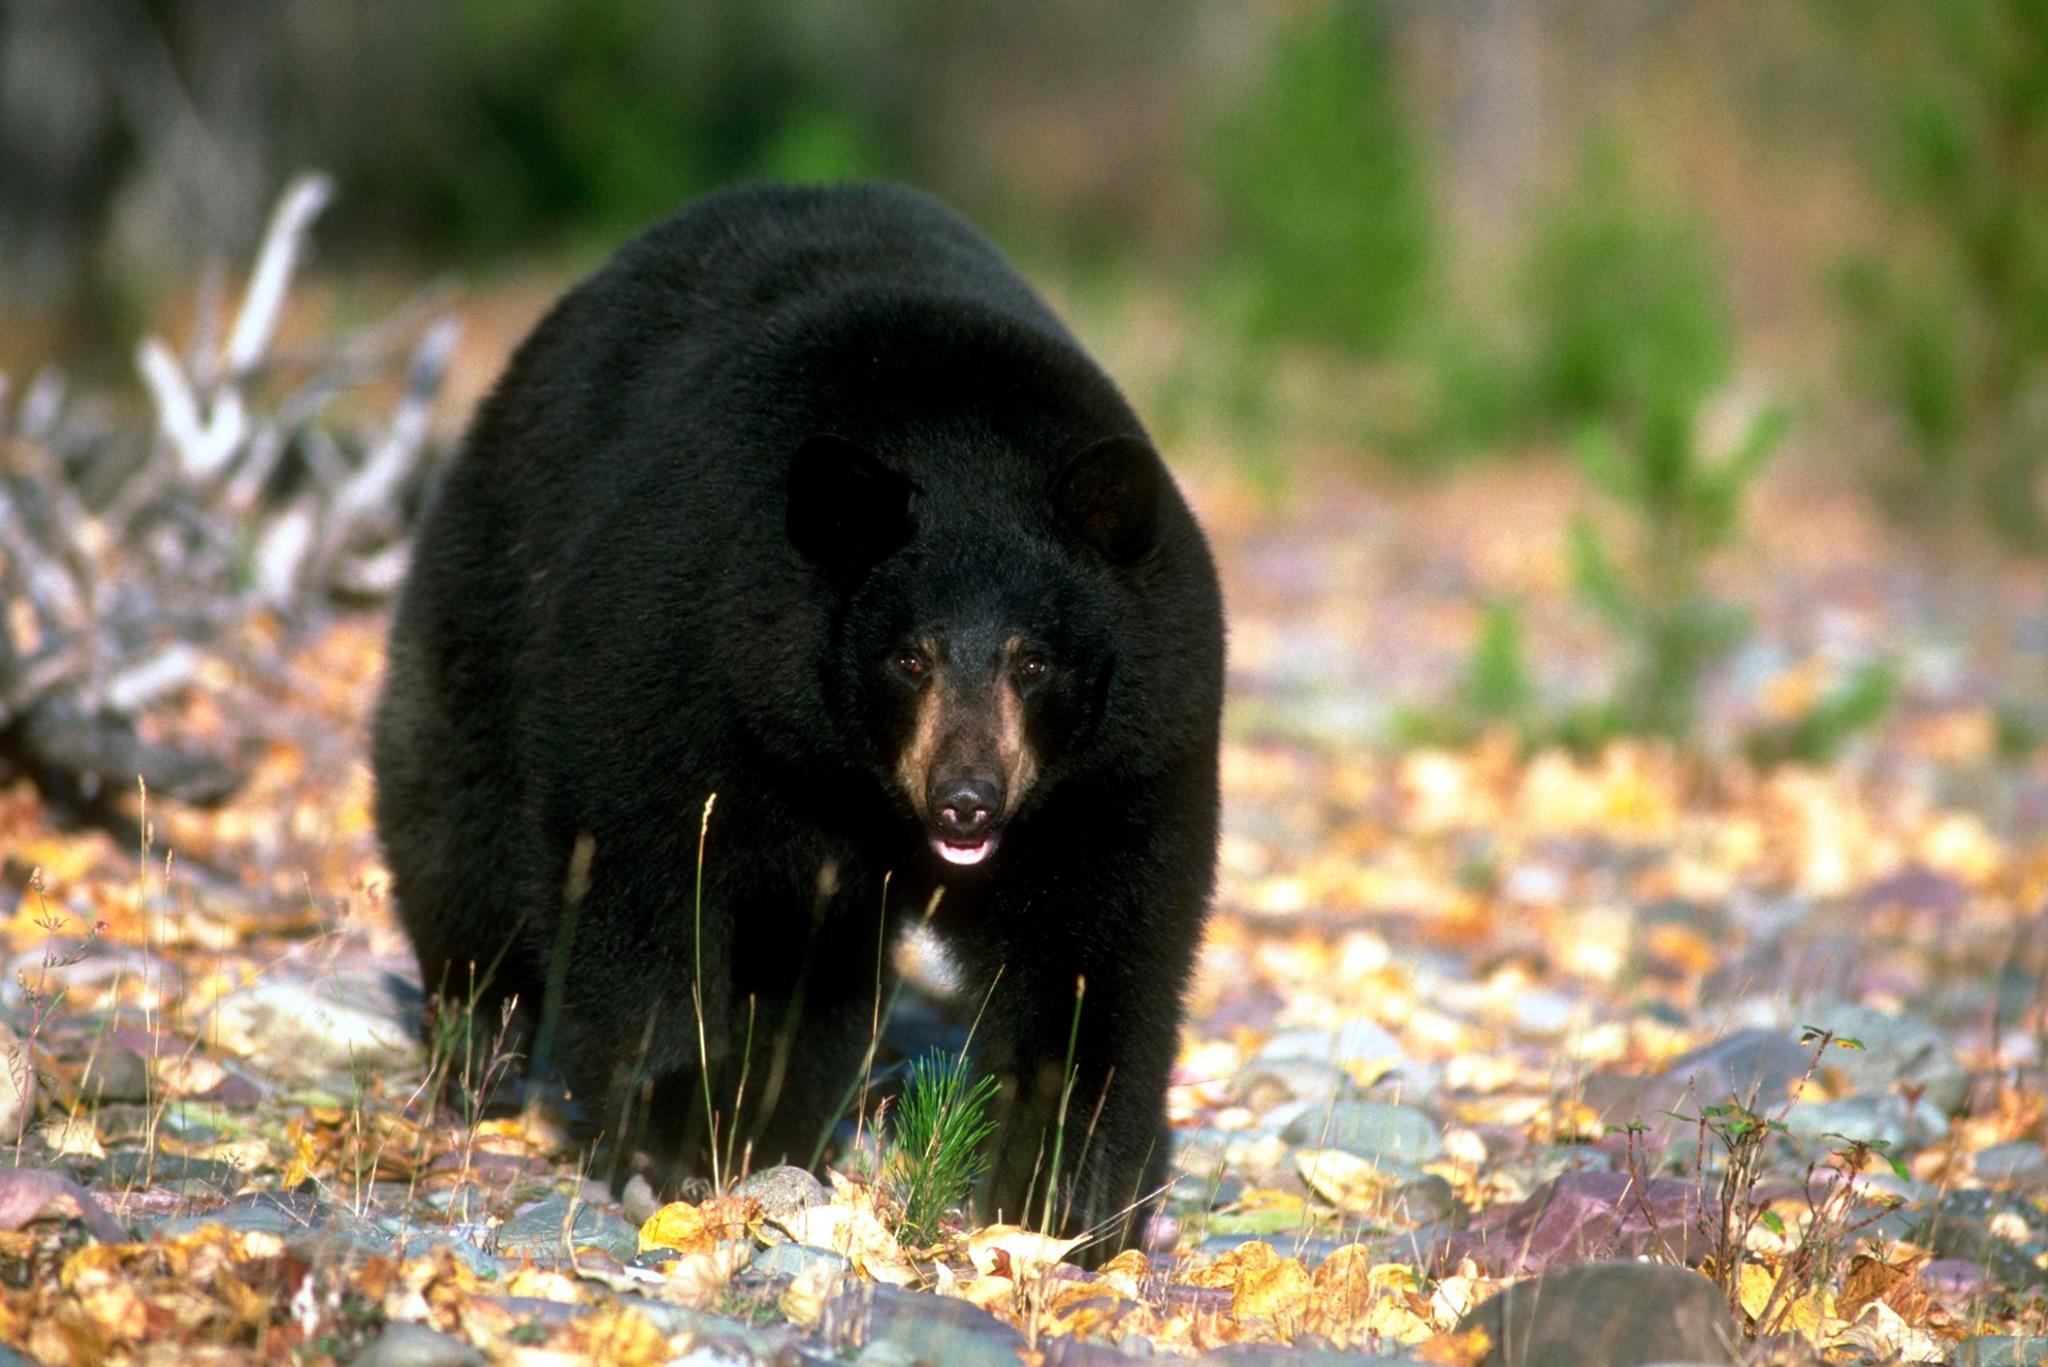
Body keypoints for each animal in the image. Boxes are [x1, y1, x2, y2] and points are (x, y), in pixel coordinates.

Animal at [372, 184, 1212, 1262]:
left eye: (1033, 660)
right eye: (908, 656)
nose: (969, 800)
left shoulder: (1123, 760)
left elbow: (1096, 952)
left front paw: (1061, 1194)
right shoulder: (691, 670)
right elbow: (642, 886)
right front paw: (674, 1135)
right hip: (491, 595)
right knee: (456, 828)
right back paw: (477, 1050)